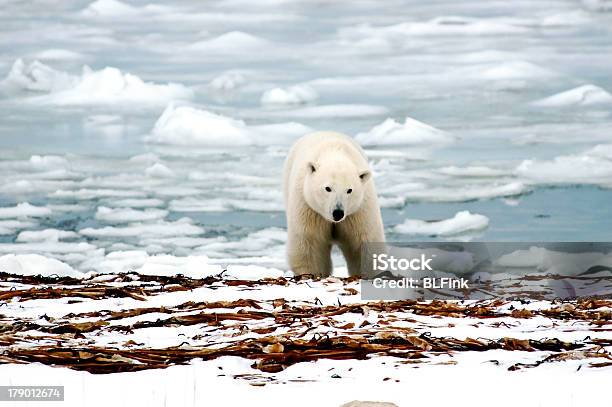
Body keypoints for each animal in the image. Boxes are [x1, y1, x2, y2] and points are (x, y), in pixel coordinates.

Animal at [284, 131, 384, 278]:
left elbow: (363, 242)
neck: (335, 152)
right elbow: (309, 243)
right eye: (328, 188)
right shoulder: (309, 208)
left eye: (349, 190)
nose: (338, 213)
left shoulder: (358, 211)